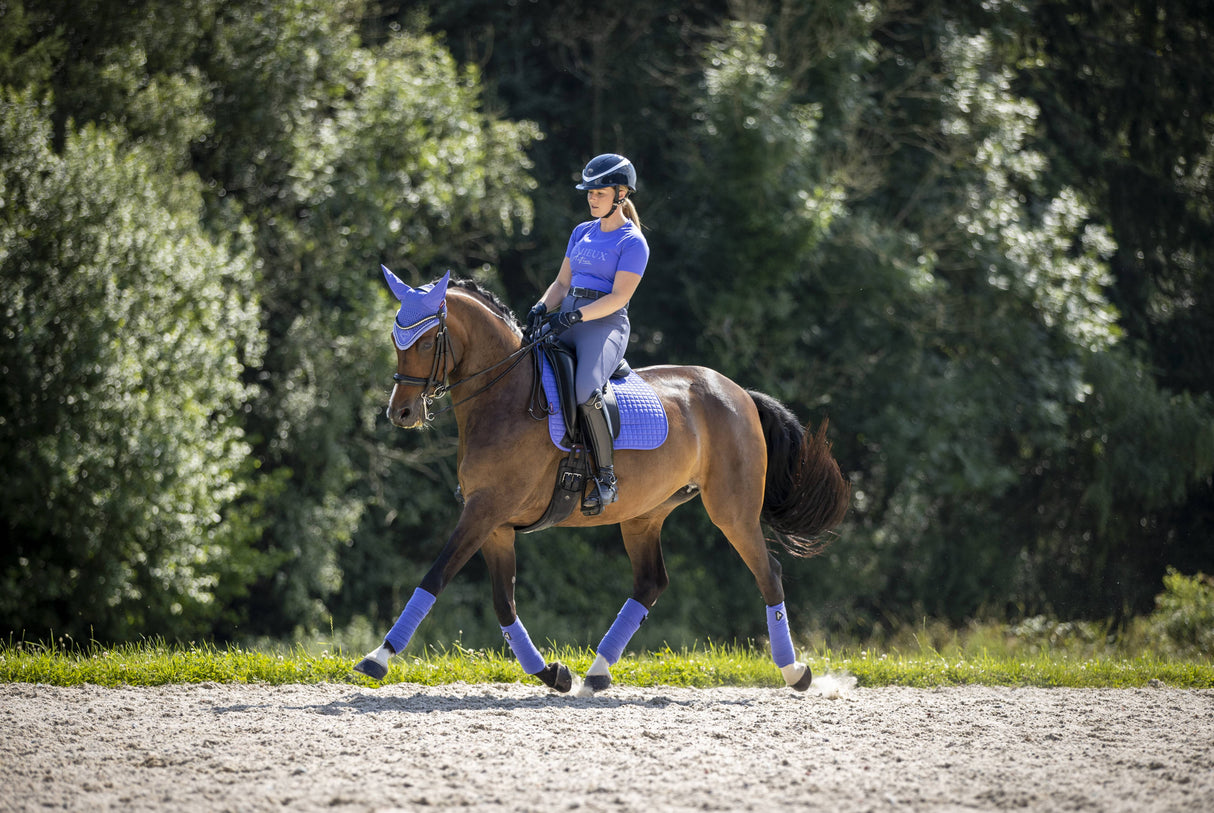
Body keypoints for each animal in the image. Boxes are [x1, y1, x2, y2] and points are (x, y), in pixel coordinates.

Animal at [354, 270, 849, 698]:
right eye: (396, 340)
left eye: (425, 340)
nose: (400, 413)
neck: (504, 397)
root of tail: (739, 393)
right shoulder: (494, 524)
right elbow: (503, 603)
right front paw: (553, 674)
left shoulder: (484, 511)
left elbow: (435, 576)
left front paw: (379, 657)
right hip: (644, 515)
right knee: (650, 583)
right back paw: (596, 672)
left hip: (732, 511)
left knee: (769, 574)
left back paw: (796, 672)